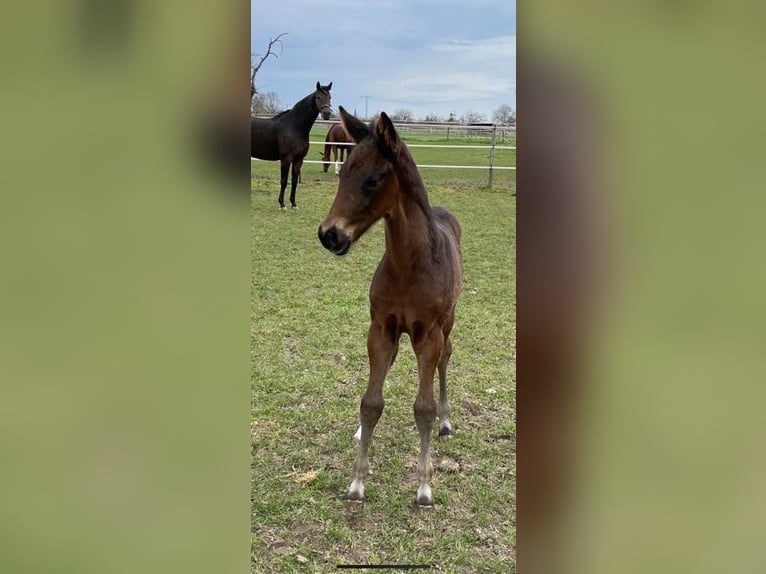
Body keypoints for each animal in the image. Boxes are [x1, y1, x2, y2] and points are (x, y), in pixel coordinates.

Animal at [252, 80, 332, 208]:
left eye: (330, 97)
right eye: (318, 97)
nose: (327, 114)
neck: (294, 127)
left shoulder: (298, 160)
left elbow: (294, 182)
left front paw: (294, 204)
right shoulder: (286, 159)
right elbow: (284, 181)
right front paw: (282, 204)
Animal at [318, 106, 462, 506]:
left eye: (373, 179)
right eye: (343, 172)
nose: (329, 235)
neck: (409, 266)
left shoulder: (428, 335)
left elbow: (423, 409)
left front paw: (424, 487)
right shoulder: (381, 329)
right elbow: (370, 402)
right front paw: (356, 482)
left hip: (447, 324)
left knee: (446, 358)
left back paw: (447, 421)